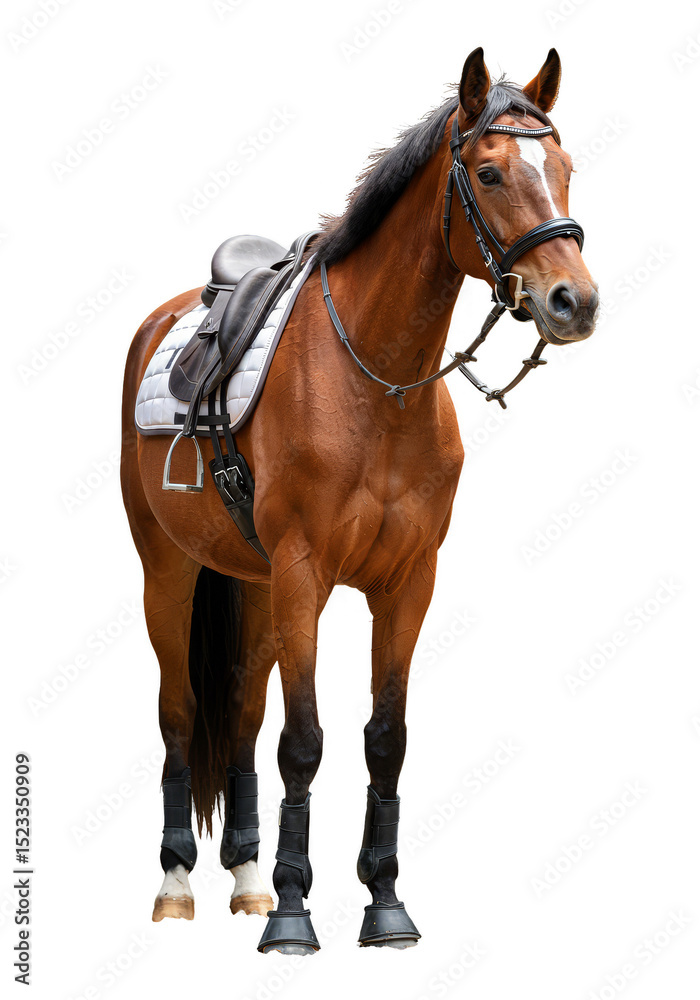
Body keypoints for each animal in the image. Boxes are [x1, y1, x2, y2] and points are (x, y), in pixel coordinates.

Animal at [120, 47, 598, 954]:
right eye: (489, 172)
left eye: (564, 169)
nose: (575, 302)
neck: (377, 383)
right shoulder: (306, 575)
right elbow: (303, 742)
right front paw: (296, 913)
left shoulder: (407, 582)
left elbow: (386, 739)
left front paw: (383, 903)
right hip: (169, 569)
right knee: (180, 712)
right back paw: (174, 885)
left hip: (256, 585)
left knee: (240, 714)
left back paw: (245, 879)